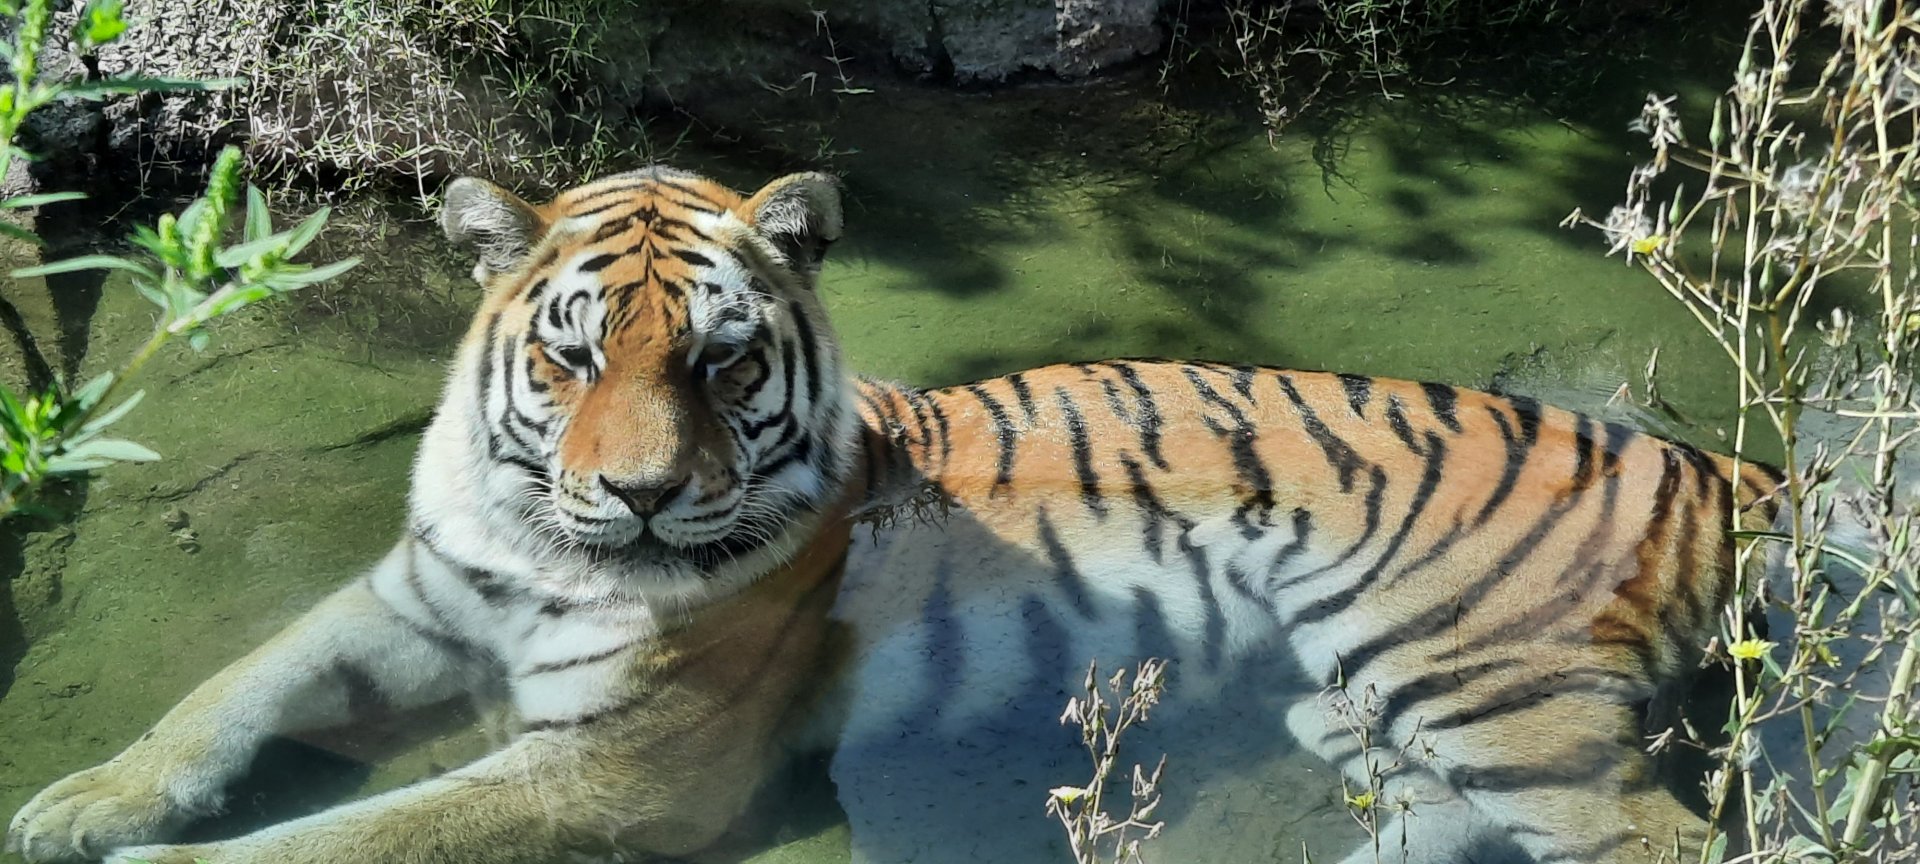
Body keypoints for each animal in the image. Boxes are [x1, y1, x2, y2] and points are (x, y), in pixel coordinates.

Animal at [7, 166, 1796, 864]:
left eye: (723, 364)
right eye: (571, 355)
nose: (637, 496)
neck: (529, 544)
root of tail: (1721, 464)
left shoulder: (623, 766)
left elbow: (350, 830)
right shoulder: (402, 603)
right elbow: (224, 694)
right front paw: (77, 800)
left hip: (1489, 688)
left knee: (1649, 836)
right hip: (1359, 704)